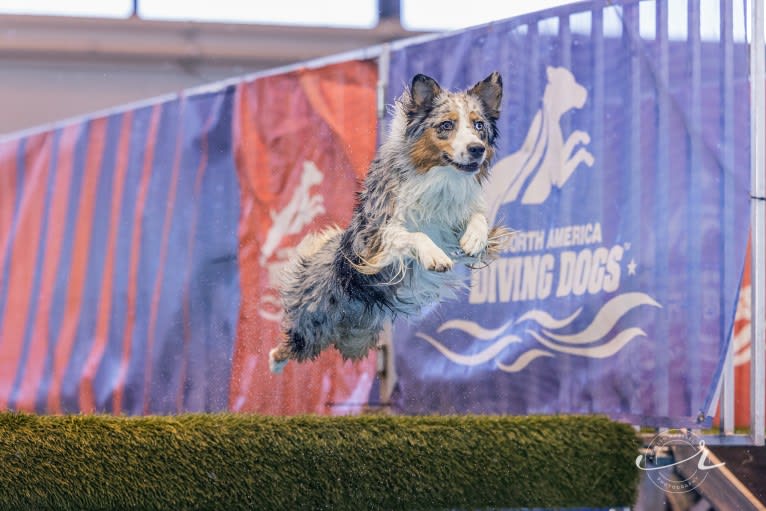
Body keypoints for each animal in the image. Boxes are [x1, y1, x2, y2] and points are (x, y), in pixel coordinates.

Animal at [268, 72, 510, 374]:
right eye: (446, 125)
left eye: (479, 125)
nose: (477, 149)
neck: (441, 179)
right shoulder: (377, 235)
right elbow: (413, 235)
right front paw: (434, 256)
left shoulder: (456, 216)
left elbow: (478, 217)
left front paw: (474, 239)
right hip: (315, 315)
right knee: (296, 340)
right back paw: (275, 361)